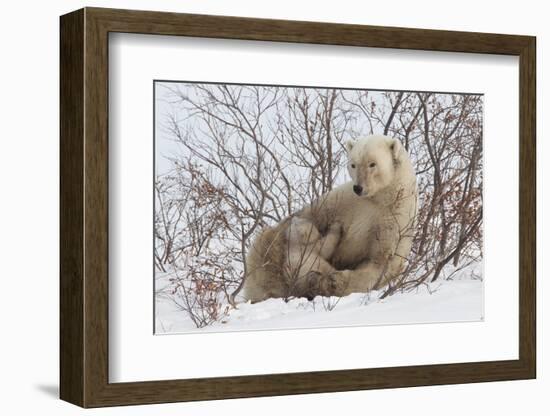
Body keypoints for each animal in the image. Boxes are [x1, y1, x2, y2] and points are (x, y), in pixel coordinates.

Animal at [242, 136, 418, 302]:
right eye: (353, 165)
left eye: (372, 164)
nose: (358, 187)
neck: (380, 198)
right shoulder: (342, 201)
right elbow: (314, 216)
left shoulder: (393, 220)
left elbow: (379, 262)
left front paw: (336, 281)